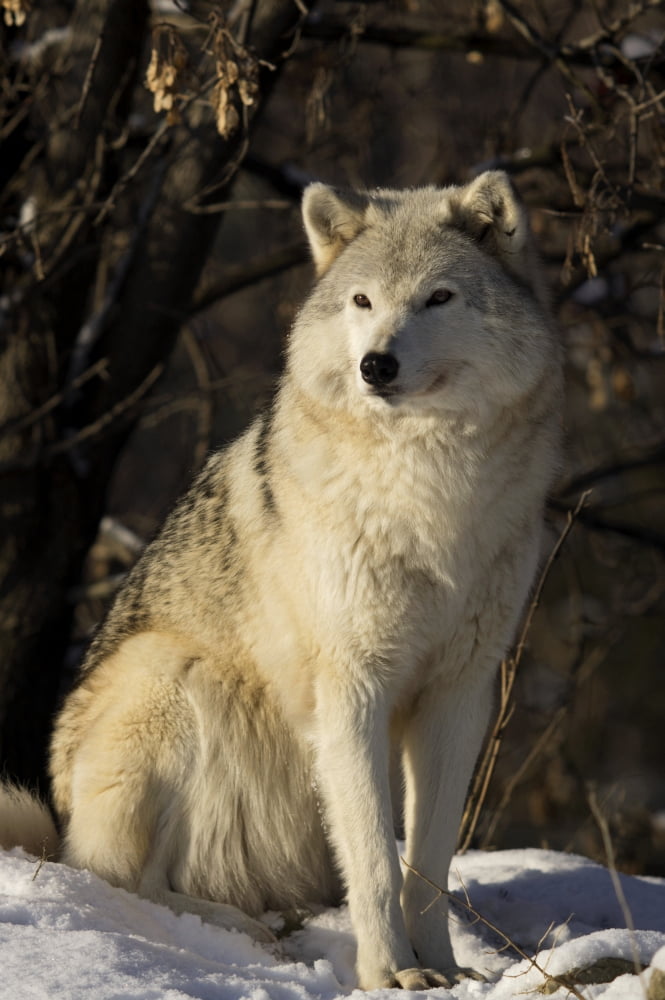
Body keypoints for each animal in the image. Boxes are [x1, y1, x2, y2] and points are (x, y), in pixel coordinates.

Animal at [1, 170, 561, 990]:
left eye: (439, 298)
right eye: (362, 302)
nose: (376, 365)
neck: (430, 488)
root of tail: (61, 814)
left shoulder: (459, 693)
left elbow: (425, 862)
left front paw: (443, 969)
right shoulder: (353, 686)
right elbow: (374, 858)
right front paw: (390, 975)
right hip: (172, 679)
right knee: (121, 878)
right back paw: (243, 930)